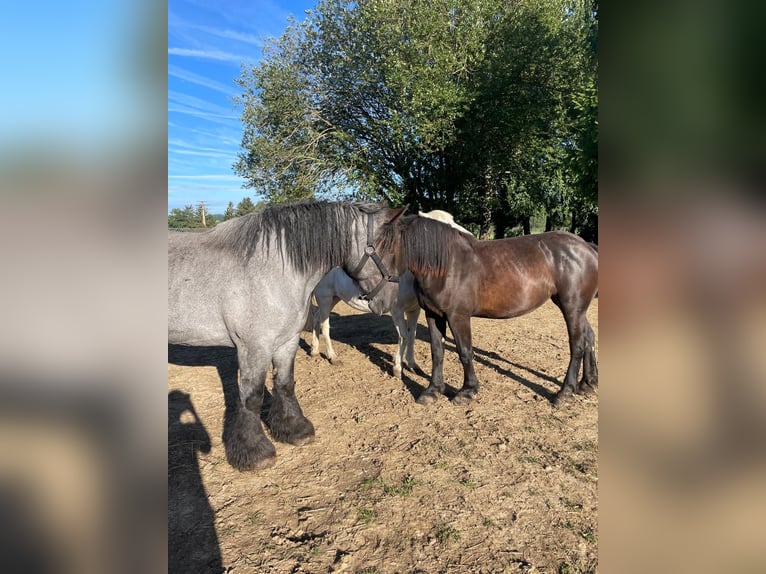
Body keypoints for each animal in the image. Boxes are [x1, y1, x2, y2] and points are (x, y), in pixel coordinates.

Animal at [168, 202, 408, 472]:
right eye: (389, 250)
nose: (389, 302)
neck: (269, 271)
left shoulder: (287, 341)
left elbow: (284, 384)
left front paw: (294, 429)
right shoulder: (254, 347)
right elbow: (252, 397)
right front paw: (255, 452)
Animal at [308, 209, 472, 380]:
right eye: (442, 227)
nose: (470, 237)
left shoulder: (414, 310)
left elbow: (411, 335)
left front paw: (412, 365)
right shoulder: (397, 310)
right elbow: (403, 336)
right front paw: (398, 368)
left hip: (335, 297)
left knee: (317, 317)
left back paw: (314, 350)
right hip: (325, 297)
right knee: (324, 324)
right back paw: (332, 356)